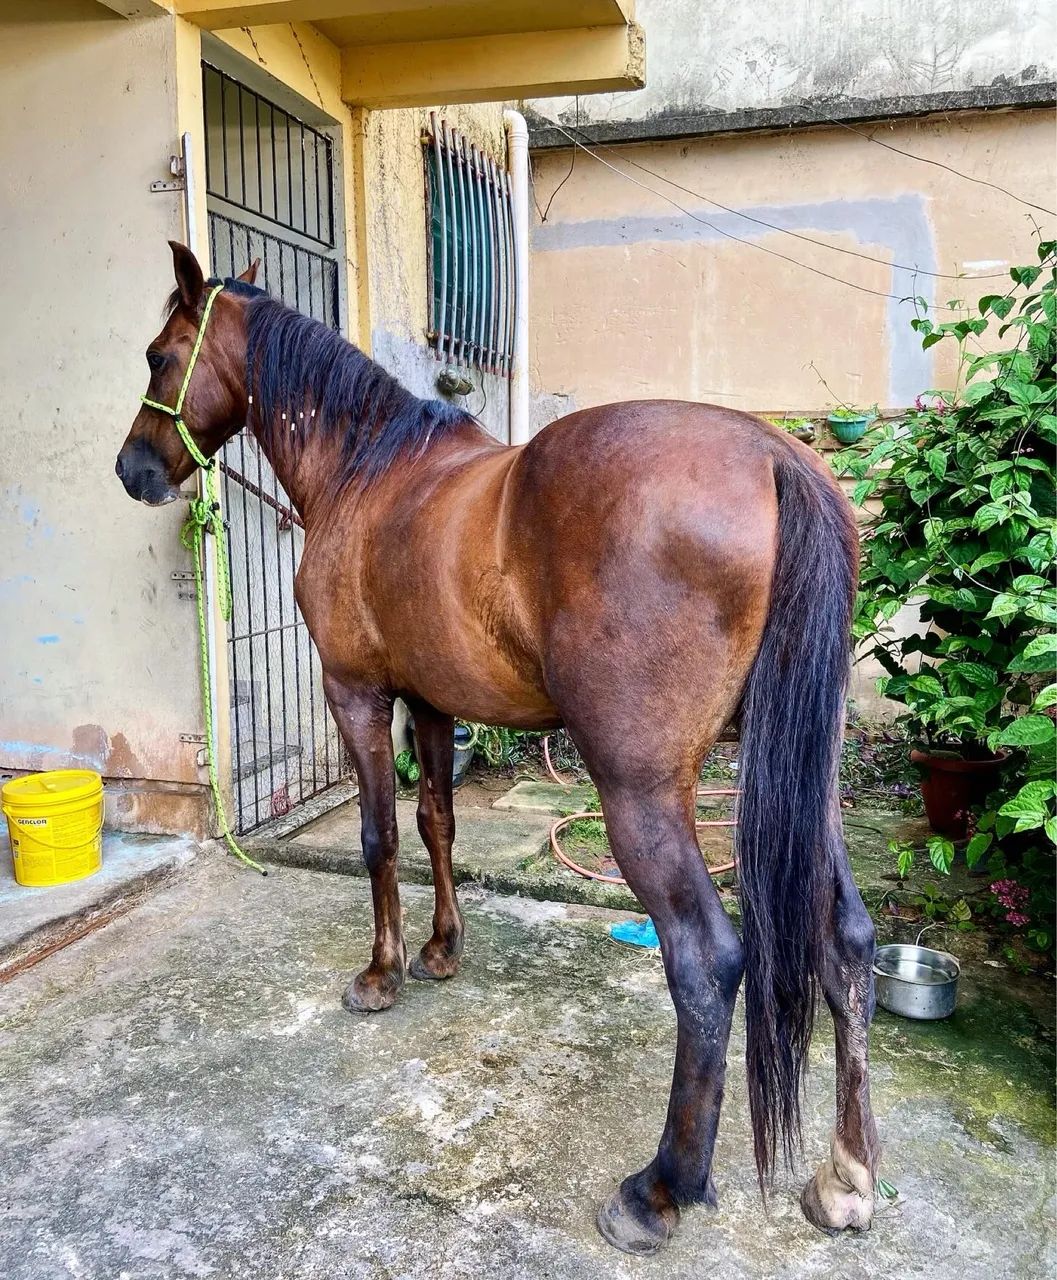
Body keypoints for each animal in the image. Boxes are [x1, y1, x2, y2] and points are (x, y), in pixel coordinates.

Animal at [116, 241, 879, 1257]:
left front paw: (381, 974)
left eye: (162, 356)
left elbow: (379, 839)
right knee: (847, 940)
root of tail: (772, 455)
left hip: (640, 790)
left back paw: (658, 1190)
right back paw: (847, 1176)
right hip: (802, 779)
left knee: (707, 959)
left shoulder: (357, 697)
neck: (366, 472)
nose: (131, 468)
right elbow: (436, 823)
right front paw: (441, 950)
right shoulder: (434, 706)